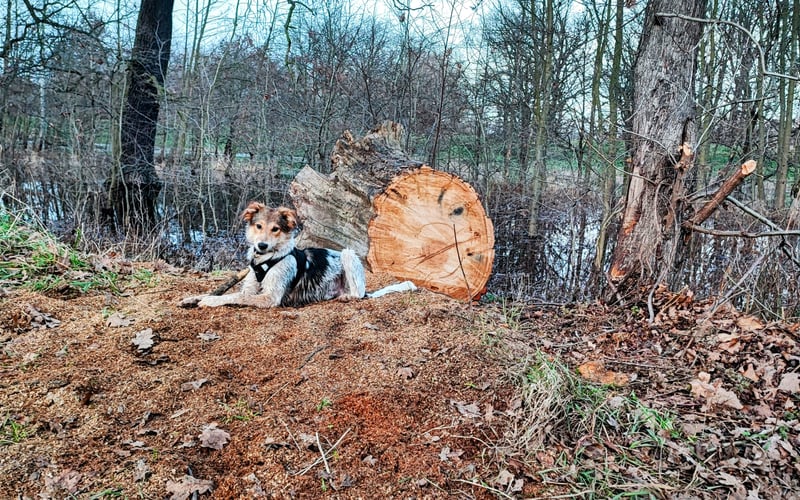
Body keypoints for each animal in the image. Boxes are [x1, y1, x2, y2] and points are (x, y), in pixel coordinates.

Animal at [192, 203, 368, 308]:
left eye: (275, 229)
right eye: (258, 226)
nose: (262, 245)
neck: (265, 259)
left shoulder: (271, 297)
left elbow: (236, 297)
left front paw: (210, 300)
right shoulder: (250, 287)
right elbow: (228, 293)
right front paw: (193, 298)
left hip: (348, 254)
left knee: (359, 293)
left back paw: (347, 296)